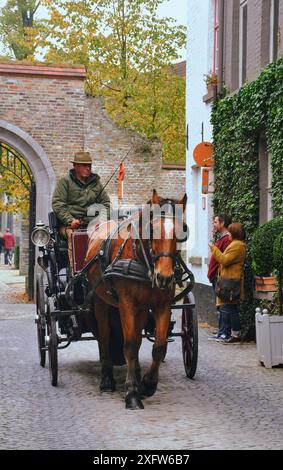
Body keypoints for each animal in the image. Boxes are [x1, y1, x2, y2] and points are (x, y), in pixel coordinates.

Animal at [86, 189, 189, 410]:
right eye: (153, 229)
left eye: (183, 230)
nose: (164, 277)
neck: (141, 258)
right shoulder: (127, 304)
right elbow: (130, 345)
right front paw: (132, 392)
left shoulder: (162, 306)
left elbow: (158, 346)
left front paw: (148, 384)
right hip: (101, 302)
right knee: (105, 337)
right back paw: (107, 379)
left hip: (141, 310)